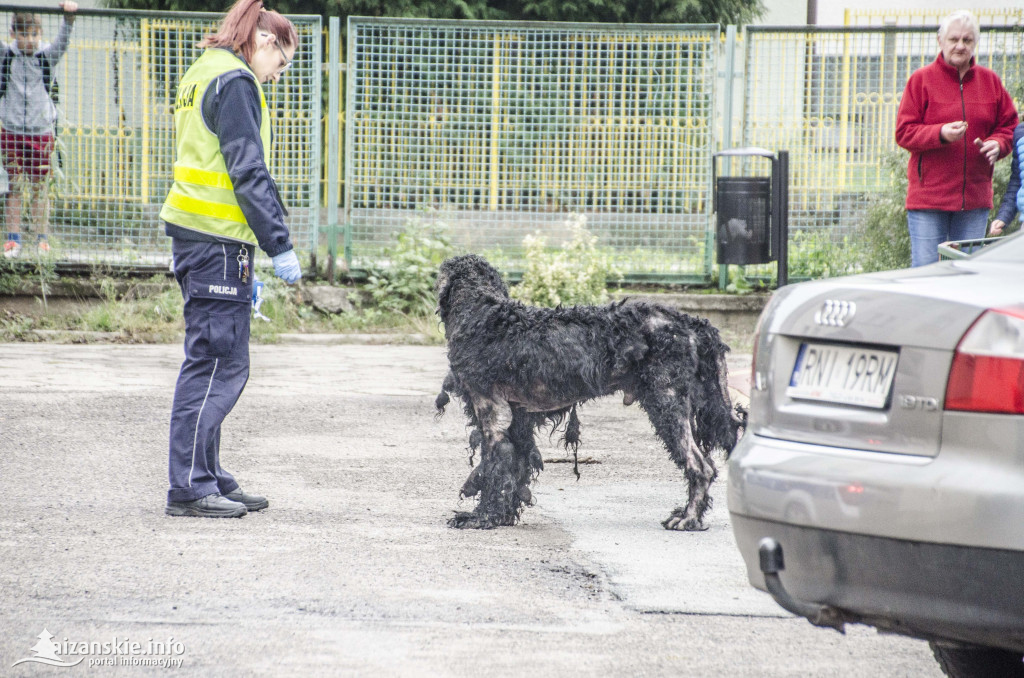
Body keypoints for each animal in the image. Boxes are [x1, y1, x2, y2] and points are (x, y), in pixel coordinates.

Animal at [434, 255, 745, 532]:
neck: (484, 315)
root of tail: (694, 324)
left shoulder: (491, 411)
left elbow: (493, 466)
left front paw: (481, 517)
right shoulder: (518, 420)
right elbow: (515, 468)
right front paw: (504, 515)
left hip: (667, 401)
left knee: (700, 465)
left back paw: (687, 518)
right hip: (706, 400)